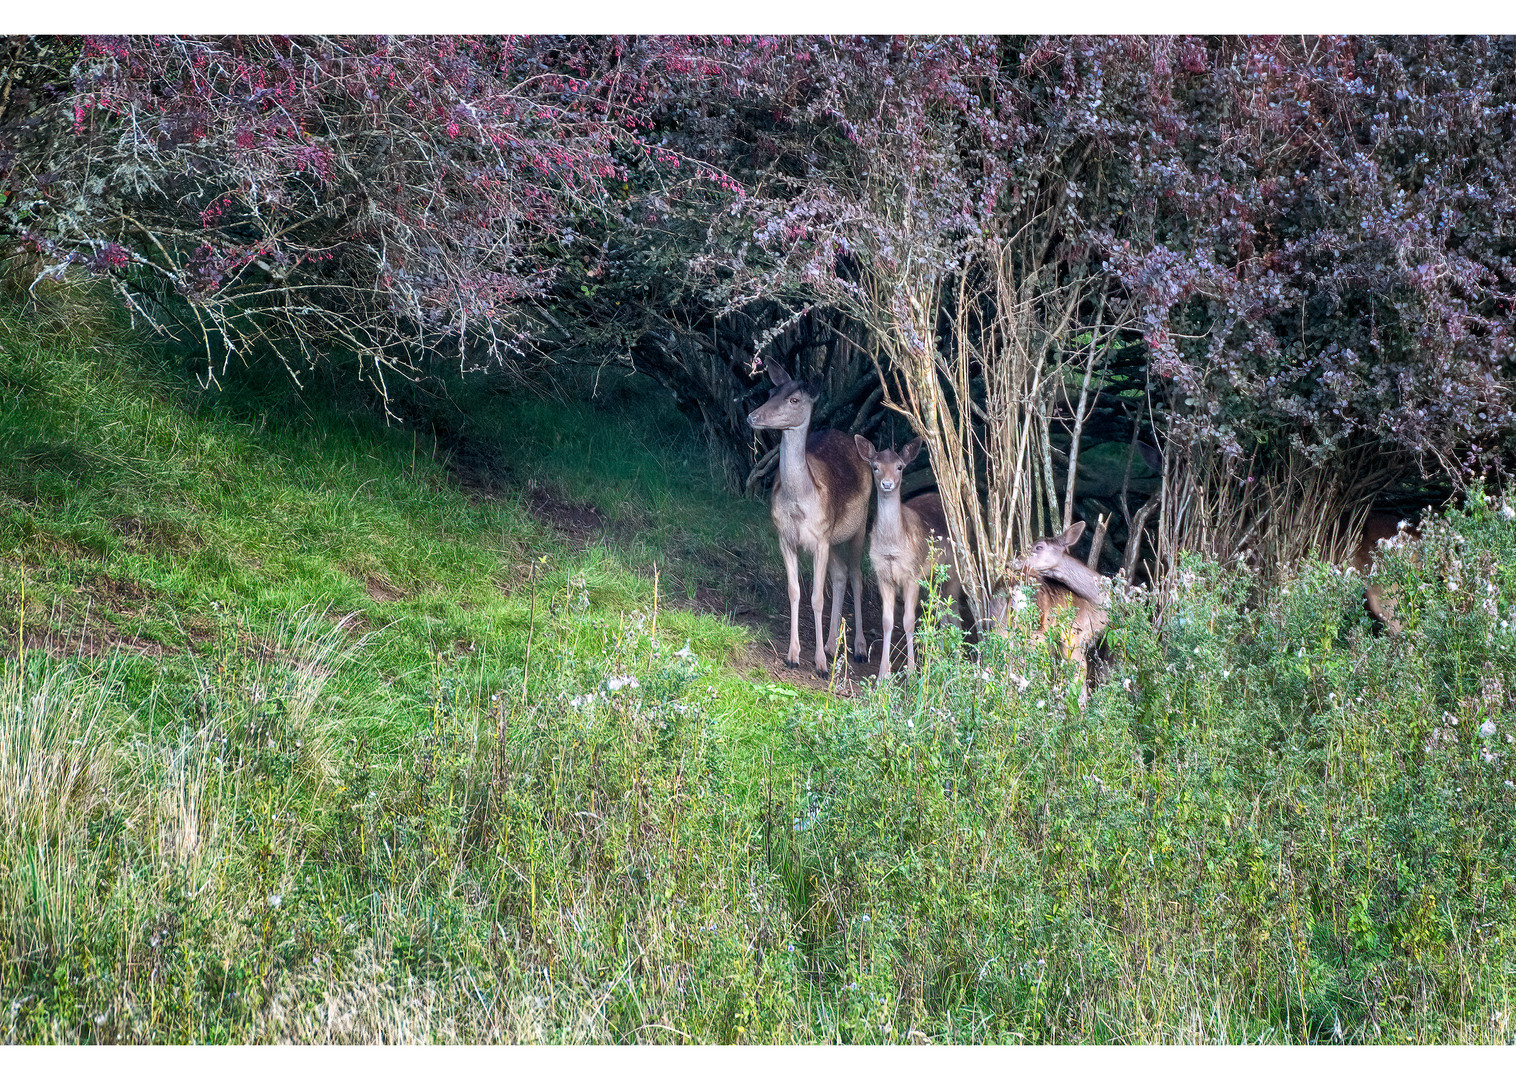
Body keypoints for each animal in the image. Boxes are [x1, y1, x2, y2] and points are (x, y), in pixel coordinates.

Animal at [742, 362, 867, 673]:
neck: (799, 504)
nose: (752, 416)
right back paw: (832, 646)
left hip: (860, 525)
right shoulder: (786, 538)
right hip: (833, 538)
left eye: (795, 400)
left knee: (857, 575)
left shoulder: (820, 539)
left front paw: (820, 664)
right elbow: (794, 590)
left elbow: (817, 597)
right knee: (841, 574)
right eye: (771, 392)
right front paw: (793, 655)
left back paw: (859, 649)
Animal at [855, 436, 958, 673]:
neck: (892, 549)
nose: (887, 483)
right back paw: (939, 656)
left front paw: (911, 672)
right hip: (936, 576)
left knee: (954, 609)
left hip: (956, 571)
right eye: (875, 466)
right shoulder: (882, 575)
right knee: (942, 610)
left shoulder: (913, 573)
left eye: (900, 466)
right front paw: (883, 674)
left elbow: (909, 621)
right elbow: (886, 621)